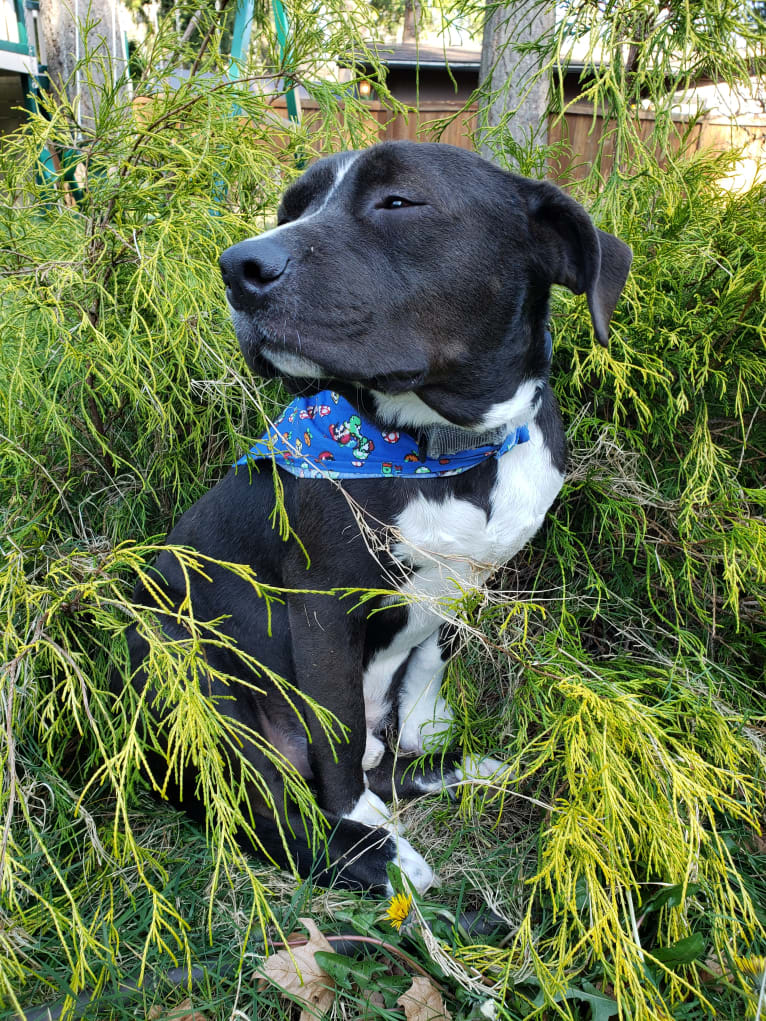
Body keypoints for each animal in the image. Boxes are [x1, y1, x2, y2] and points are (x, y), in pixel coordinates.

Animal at [124, 141, 629, 894]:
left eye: (399, 201)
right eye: (294, 207)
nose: (239, 267)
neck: (447, 448)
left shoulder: (471, 579)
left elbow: (432, 657)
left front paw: (428, 730)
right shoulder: (322, 603)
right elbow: (336, 728)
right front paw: (360, 818)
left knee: (373, 770)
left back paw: (455, 770)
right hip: (181, 663)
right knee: (266, 811)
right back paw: (378, 857)